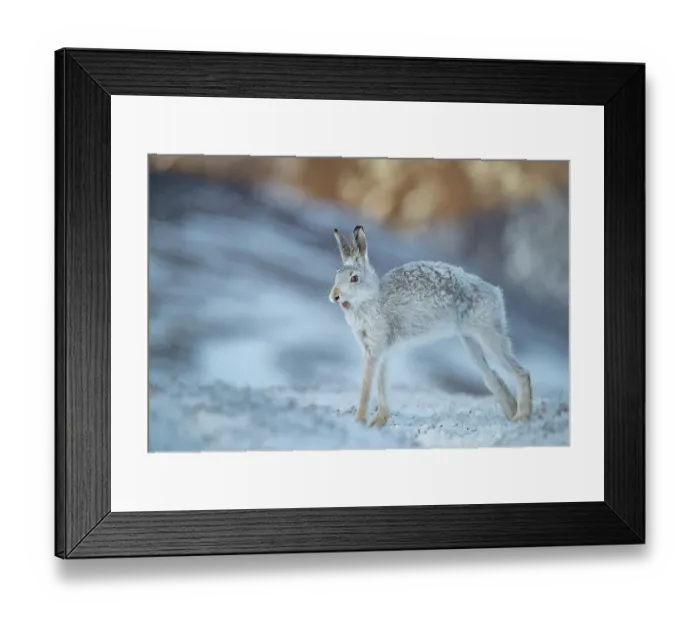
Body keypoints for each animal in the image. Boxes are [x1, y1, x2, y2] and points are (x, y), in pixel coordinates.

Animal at [329, 225, 532, 428]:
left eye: (354, 278)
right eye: (337, 274)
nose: (334, 296)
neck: (370, 299)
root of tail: (495, 292)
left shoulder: (376, 348)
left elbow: (367, 385)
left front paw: (360, 421)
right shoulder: (384, 352)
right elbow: (382, 383)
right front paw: (379, 420)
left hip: (489, 333)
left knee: (521, 372)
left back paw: (522, 416)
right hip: (470, 341)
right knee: (491, 376)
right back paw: (511, 413)